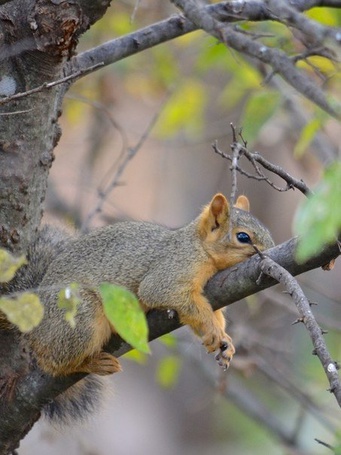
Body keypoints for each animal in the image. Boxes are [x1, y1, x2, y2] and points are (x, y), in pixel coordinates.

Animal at [0, 192, 274, 420]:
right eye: (243, 237)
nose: (270, 253)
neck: (198, 246)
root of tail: (35, 325)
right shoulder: (171, 271)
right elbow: (163, 294)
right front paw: (214, 330)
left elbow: (209, 313)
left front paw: (222, 339)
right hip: (80, 319)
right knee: (54, 363)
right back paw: (92, 363)